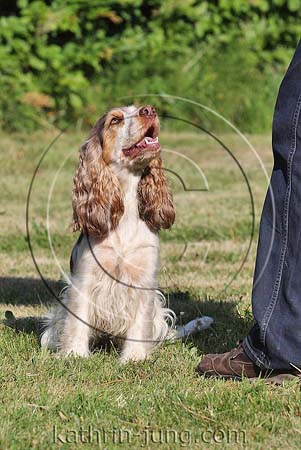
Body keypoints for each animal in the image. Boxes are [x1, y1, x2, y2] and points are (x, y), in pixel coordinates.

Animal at [41, 105, 175, 362]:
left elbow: (139, 322)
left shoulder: (143, 279)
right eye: (115, 120)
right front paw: (74, 353)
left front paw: (135, 357)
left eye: (141, 107)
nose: (149, 110)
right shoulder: (85, 279)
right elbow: (77, 321)